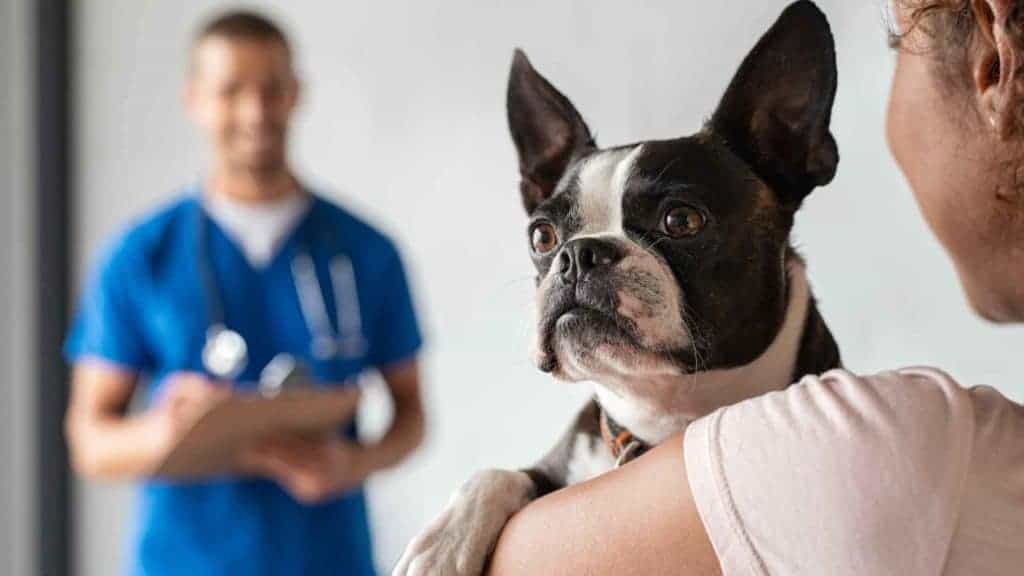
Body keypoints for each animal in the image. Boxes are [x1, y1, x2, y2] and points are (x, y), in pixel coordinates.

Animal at [393, 2, 839, 569]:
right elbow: (498, 473)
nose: (577, 255)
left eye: (682, 220)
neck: (658, 416)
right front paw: (442, 546)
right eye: (542, 235)